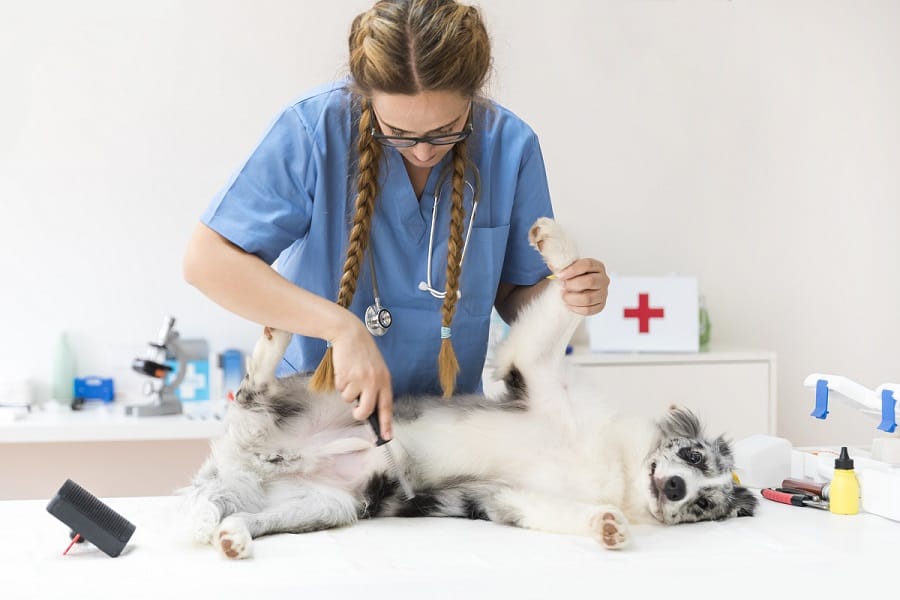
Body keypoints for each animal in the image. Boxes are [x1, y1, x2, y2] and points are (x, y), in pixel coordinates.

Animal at [183, 218, 760, 560]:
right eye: (691, 455)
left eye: (706, 504)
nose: (676, 489)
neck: (617, 467)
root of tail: (243, 462)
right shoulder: (535, 368)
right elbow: (566, 303)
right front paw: (556, 244)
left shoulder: (508, 497)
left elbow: (567, 514)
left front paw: (609, 527)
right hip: (326, 395)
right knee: (254, 383)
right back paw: (275, 332)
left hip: (329, 506)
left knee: (248, 514)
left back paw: (233, 538)